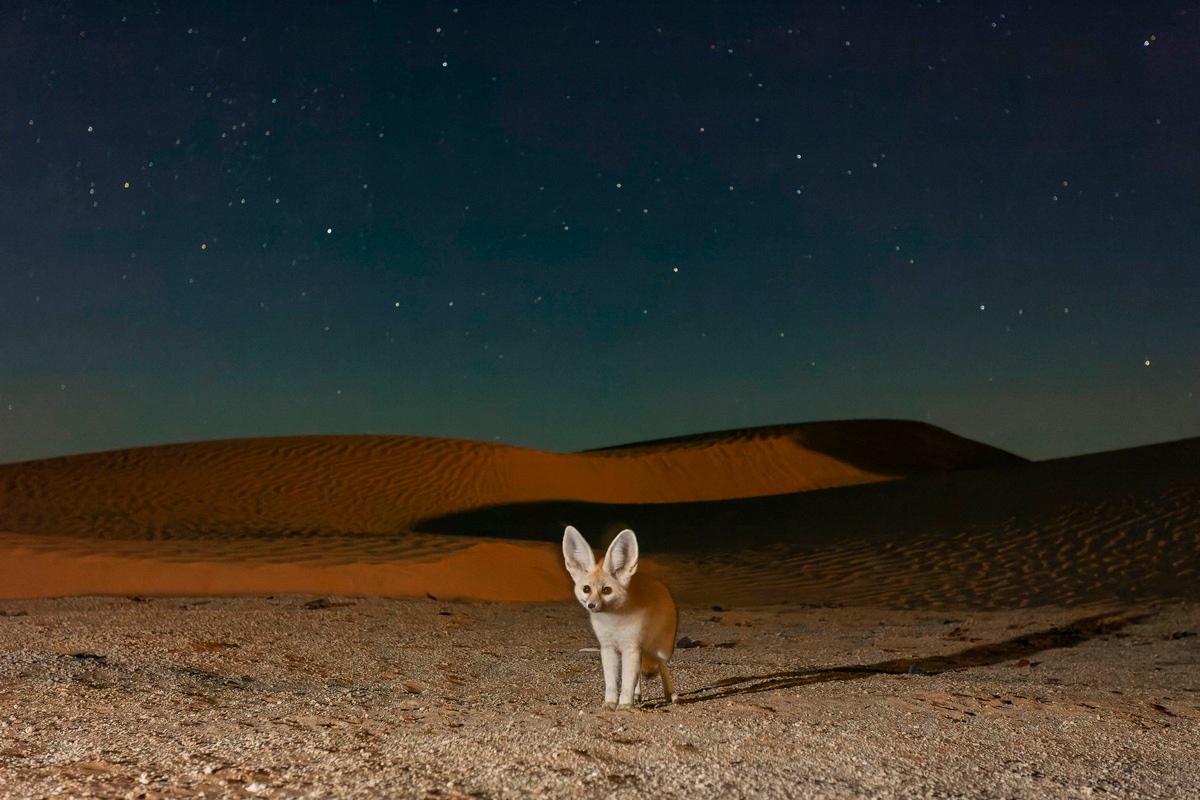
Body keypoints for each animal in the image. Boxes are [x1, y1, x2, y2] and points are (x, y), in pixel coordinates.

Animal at [559, 527, 681, 710]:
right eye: (586, 589)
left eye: (606, 591)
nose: (591, 605)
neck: (612, 624)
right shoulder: (609, 648)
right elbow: (612, 682)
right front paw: (610, 703)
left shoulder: (630, 647)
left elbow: (627, 682)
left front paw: (624, 705)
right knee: (639, 674)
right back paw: (638, 695)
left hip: (661, 649)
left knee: (662, 666)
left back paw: (670, 694)